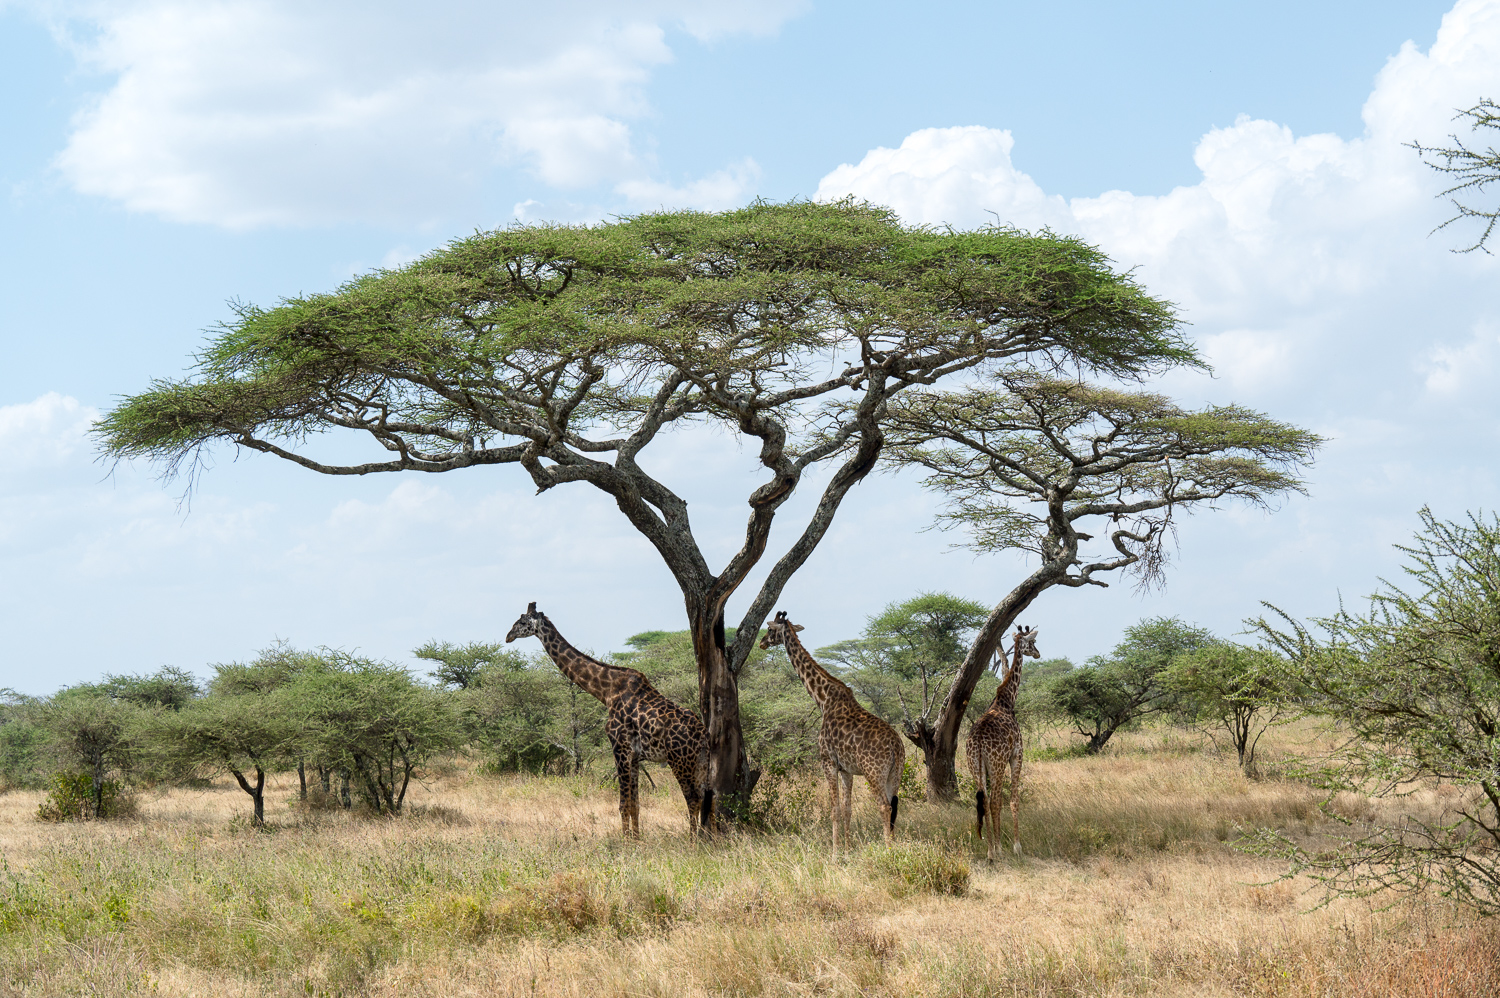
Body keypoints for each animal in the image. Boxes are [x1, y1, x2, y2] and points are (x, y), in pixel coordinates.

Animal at [504, 603, 714, 834]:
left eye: (522, 621)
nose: (508, 636)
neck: (606, 691)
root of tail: (703, 736)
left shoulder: (619, 747)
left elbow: (623, 804)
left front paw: (625, 839)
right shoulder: (634, 756)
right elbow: (635, 804)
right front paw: (637, 838)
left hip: (680, 760)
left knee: (692, 798)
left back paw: (693, 839)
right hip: (700, 762)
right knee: (707, 796)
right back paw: (706, 836)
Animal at [762, 603, 900, 852]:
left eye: (769, 630)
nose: (761, 643)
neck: (823, 698)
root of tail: (897, 746)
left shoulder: (827, 761)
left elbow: (834, 810)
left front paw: (835, 854)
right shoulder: (846, 769)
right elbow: (847, 810)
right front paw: (847, 849)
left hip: (874, 773)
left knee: (884, 807)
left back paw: (888, 850)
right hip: (895, 774)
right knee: (893, 806)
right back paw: (893, 844)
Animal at [966, 624, 1038, 858]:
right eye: (1032, 642)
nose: (1038, 653)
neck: (1006, 701)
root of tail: (978, 742)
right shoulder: (1017, 754)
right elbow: (1014, 800)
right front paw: (1017, 846)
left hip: (975, 766)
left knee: (984, 801)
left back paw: (990, 850)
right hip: (996, 765)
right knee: (995, 801)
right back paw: (997, 849)